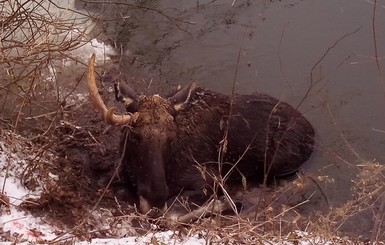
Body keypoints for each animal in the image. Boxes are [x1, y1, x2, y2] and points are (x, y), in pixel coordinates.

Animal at [88, 54, 316, 218]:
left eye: (172, 138)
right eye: (134, 136)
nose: (157, 194)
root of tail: (312, 131)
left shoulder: (208, 180)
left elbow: (171, 215)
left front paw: (225, 203)